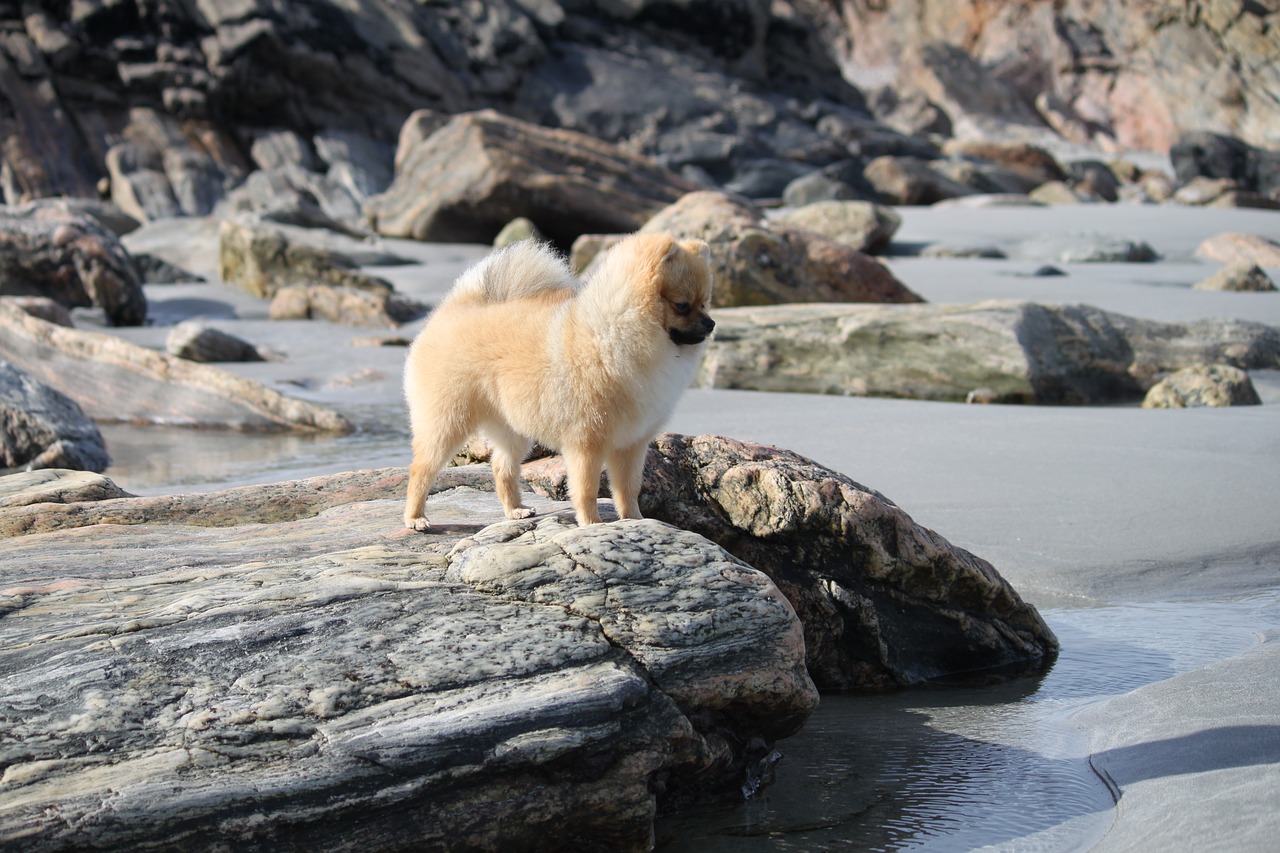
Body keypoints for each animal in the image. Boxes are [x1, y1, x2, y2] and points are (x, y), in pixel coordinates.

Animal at [401, 229, 716, 527]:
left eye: (705, 302)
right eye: (682, 304)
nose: (712, 323)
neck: (613, 333)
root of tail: (454, 308)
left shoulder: (632, 443)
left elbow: (628, 489)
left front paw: (635, 520)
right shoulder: (586, 442)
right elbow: (587, 490)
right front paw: (591, 524)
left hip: (511, 426)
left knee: (501, 466)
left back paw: (515, 510)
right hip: (447, 420)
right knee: (422, 467)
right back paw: (415, 518)